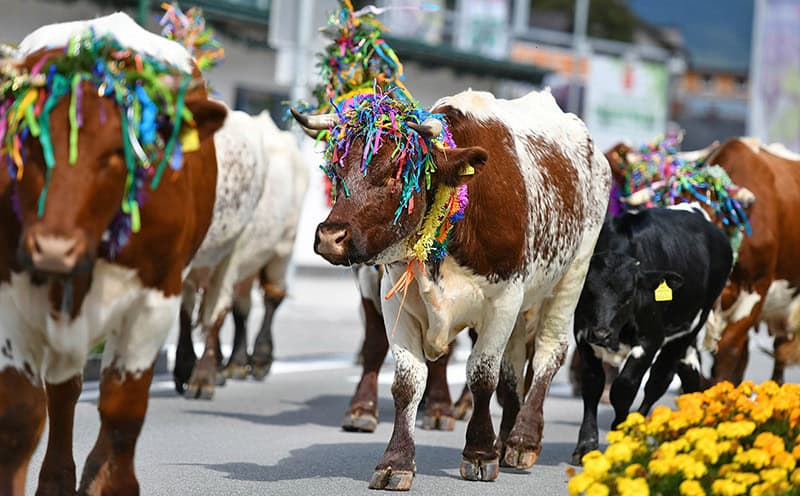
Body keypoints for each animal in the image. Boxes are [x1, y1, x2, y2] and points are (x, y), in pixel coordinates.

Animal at [0, 13, 228, 494]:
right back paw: (57, 478)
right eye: (32, 143)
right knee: (64, 392)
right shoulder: (10, 286)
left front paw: (111, 482)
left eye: (115, 156)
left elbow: (123, 408)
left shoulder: (155, 298)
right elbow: (22, 413)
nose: (53, 249)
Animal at [173, 110, 308, 398]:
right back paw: (234, 363)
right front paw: (186, 366)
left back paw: (259, 359)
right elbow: (186, 312)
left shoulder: (228, 260)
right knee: (242, 306)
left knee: (272, 298)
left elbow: (215, 313)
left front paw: (203, 378)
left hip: (282, 249)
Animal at [290, 88, 608, 488]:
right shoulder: (397, 297)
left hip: (572, 274)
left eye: (394, 176)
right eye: (336, 170)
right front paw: (396, 461)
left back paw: (523, 439)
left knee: (549, 353)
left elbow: (483, 375)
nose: (330, 237)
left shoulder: (505, 297)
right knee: (514, 368)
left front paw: (479, 454)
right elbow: (408, 382)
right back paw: (506, 438)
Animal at [572, 205, 736, 464]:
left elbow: (624, 387)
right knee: (689, 372)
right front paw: (586, 445)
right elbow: (592, 384)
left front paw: (623, 435)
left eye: (629, 295)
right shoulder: (582, 335)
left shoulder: (650, 340)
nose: (601, 334)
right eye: (588, 291)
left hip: (689, 328)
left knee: (659, 380)